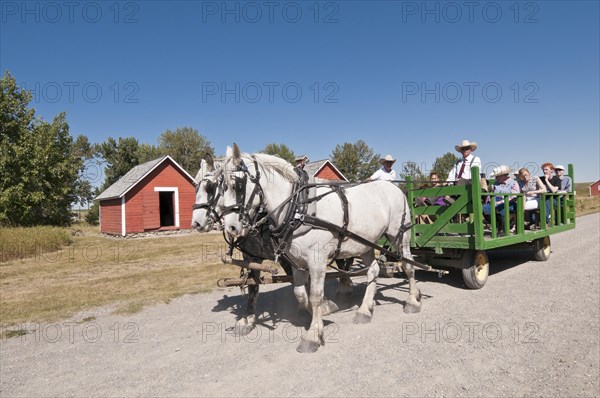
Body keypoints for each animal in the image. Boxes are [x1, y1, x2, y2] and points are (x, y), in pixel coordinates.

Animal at [220, 145, 422, 352]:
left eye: (237, 184)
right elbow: (300, 293)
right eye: (222, 186)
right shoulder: (297, 262)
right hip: (365, 243)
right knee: (373, 270)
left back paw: (412, 300)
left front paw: (313, 335)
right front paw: (321, 314)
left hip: (400, 235)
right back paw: (365, 310)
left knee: (408, 265)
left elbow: (316, 295)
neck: (299, 208)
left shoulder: (317, 262)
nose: (231, 227)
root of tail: (395, 188)